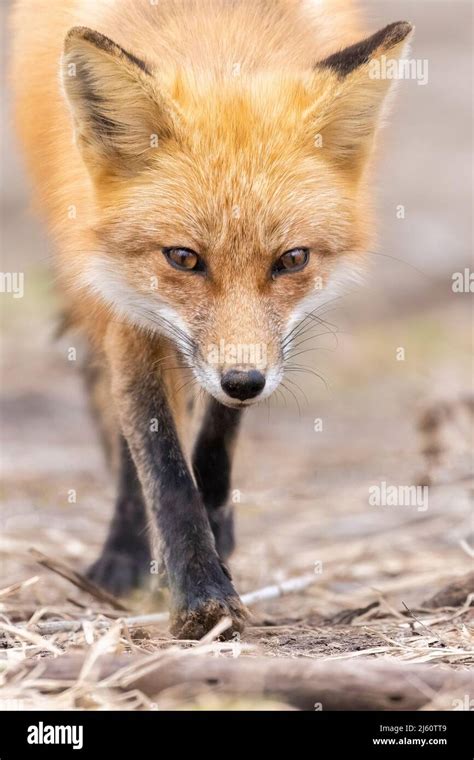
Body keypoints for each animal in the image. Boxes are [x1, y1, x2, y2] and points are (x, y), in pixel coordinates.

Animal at [10, 1, 412, 640]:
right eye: (182, 258)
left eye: (292, 260)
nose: (244, 381)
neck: (218, 30)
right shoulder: (126, 305)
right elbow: (164, 469)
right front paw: (202, 597)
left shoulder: (253, 353)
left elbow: (217, 439)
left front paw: (215, 532)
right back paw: (123, 556)